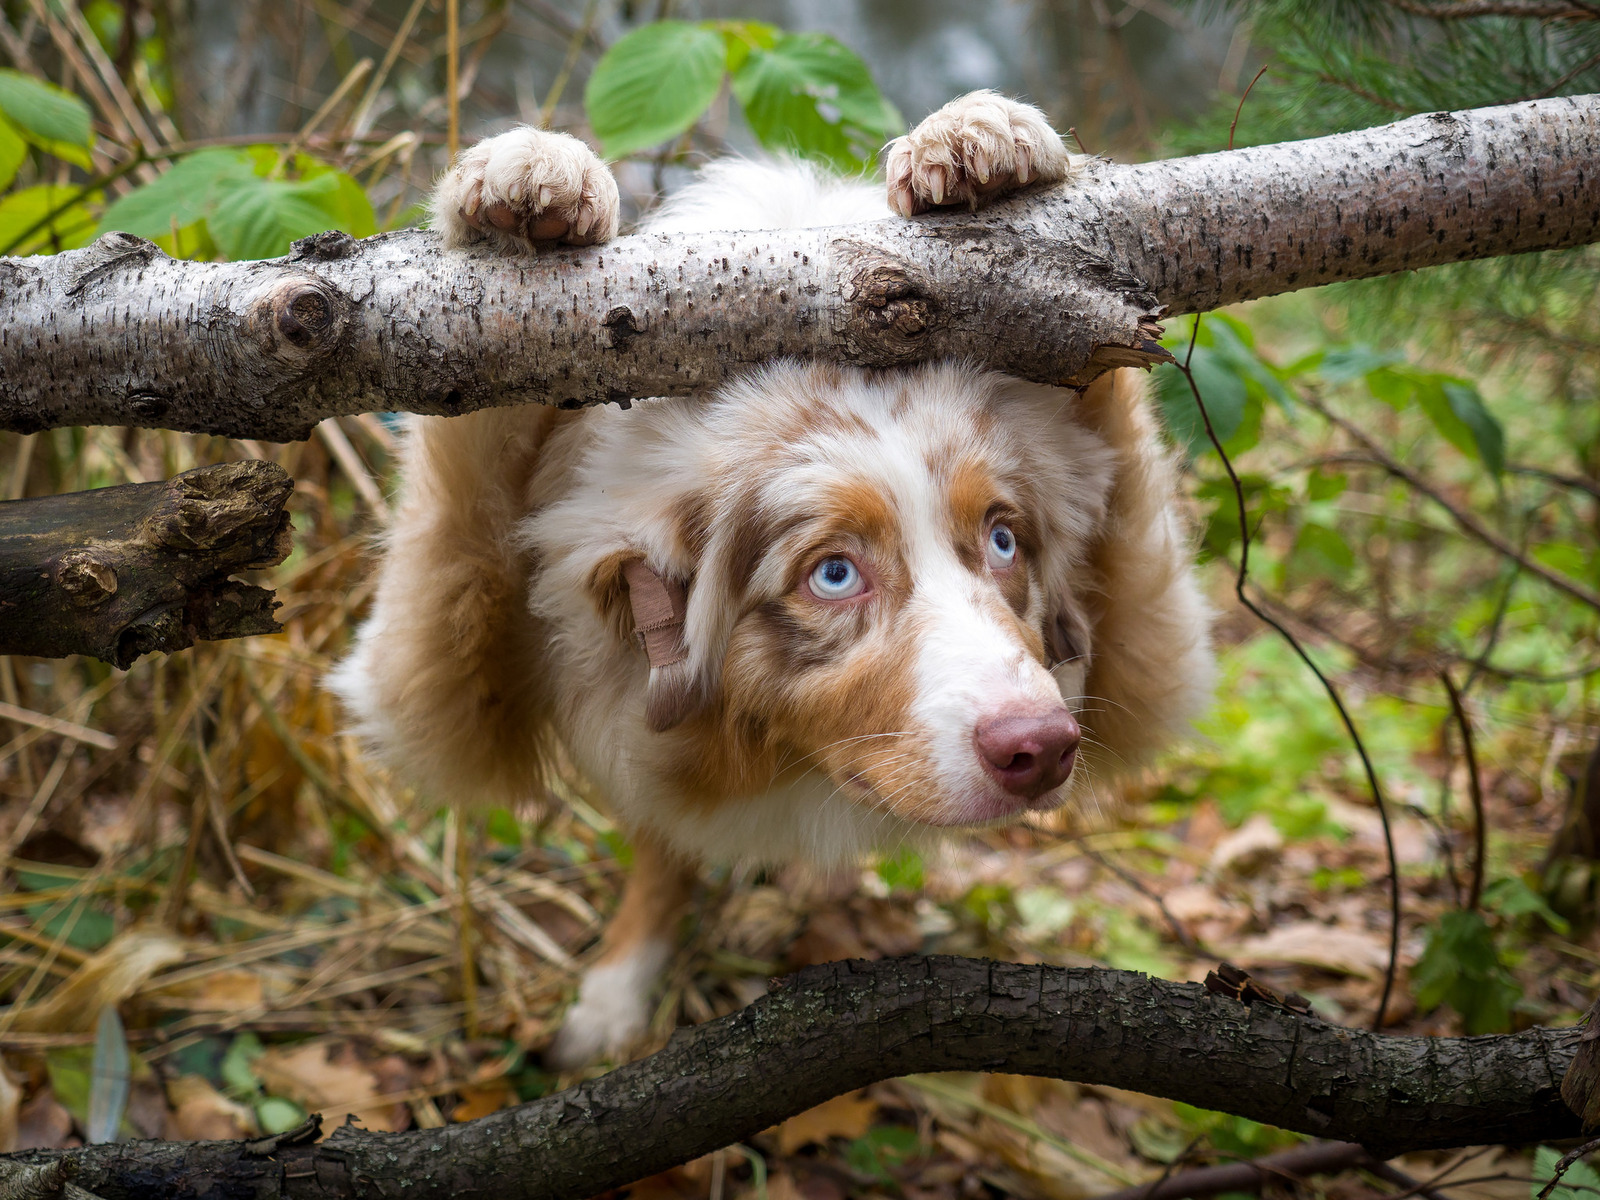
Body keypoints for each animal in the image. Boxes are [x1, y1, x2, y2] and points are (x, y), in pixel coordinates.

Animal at [334, 96, 1209, 1068]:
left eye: (1004, 540)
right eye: (833, 573)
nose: (1043, 749)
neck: (772, 757)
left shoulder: (1143, 642)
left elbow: (1107, 387)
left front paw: (988, 144)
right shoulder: (448, 677)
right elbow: (470, 440)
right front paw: (526, 180)